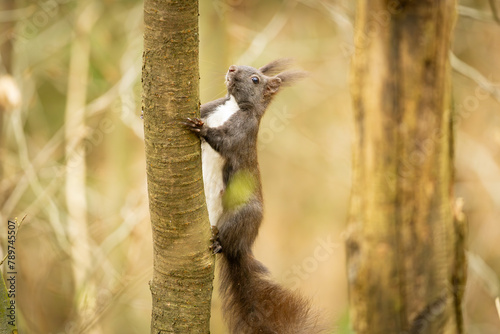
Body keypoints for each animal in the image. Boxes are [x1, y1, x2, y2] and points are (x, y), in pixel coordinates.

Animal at [186, 60, 322, 334]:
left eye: (256, 79)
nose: (231, 68)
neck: (233, 105)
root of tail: (242, 249)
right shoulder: (211, 106)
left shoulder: (243, 129)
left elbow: (224, 140)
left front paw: (201, 129)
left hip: (243, 214)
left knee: (227, 240)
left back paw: (219, 243)